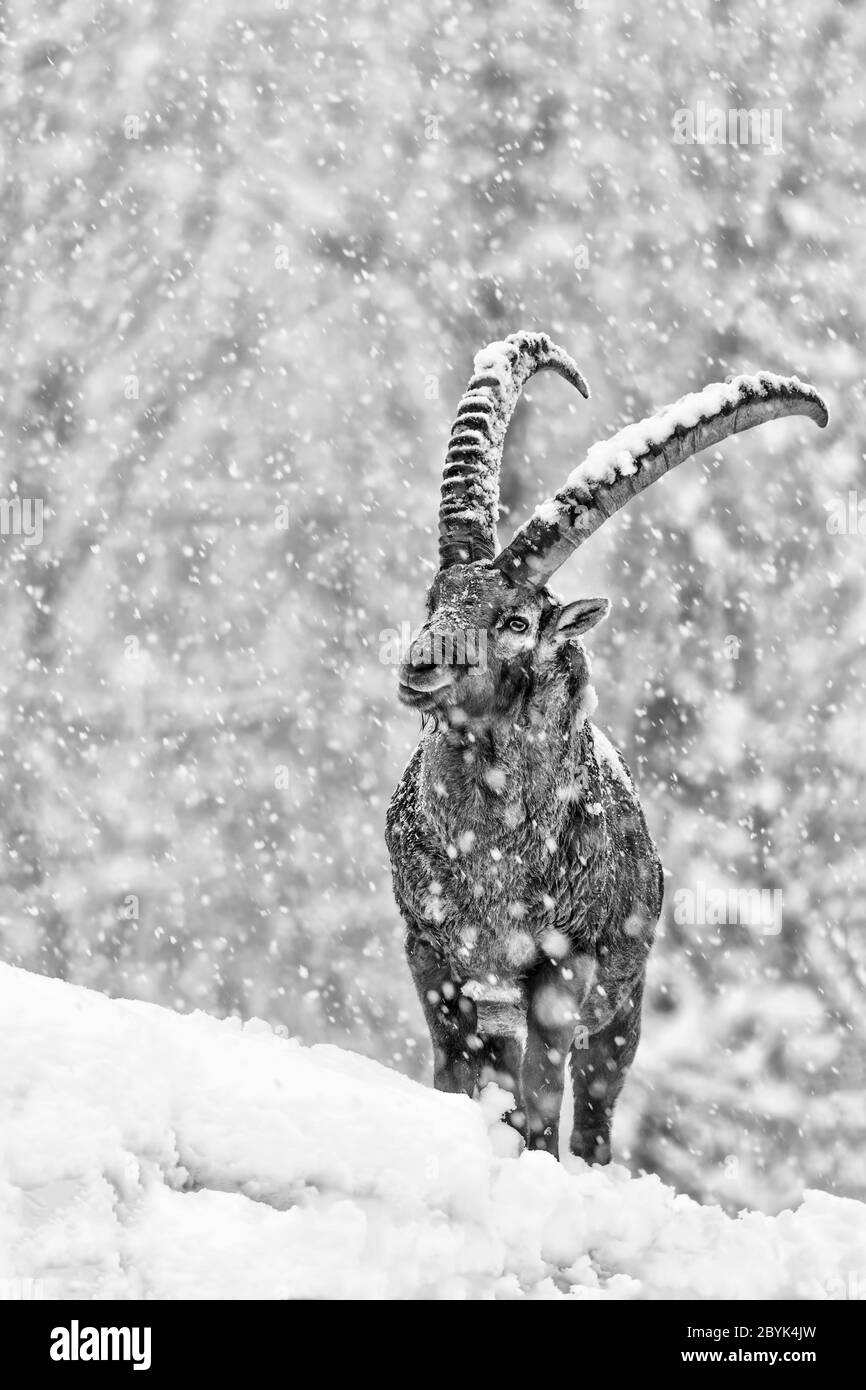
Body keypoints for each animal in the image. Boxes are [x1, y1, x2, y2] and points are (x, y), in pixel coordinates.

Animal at [386, 331, 828, 1162]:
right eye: (435, 599)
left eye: (517, 620)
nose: (421, 666)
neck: (491, 857)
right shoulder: (437, 956)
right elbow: (455, 1077)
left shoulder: (567, 964)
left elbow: (541, 1095)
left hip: (624, 1009)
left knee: (592, 1108)